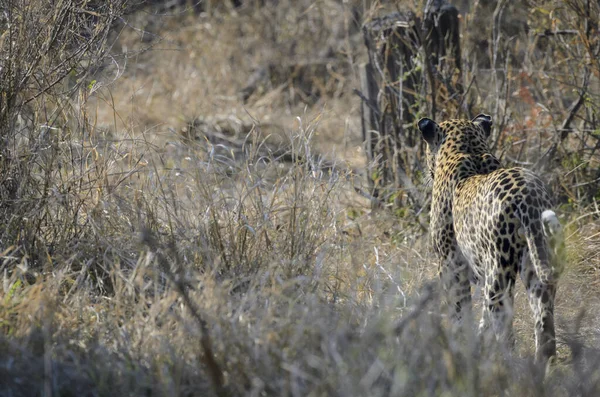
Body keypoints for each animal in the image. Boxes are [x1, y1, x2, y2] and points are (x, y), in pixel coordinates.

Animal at [418, 113, 564, 364]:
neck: (467, 148)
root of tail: (528, 195)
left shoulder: (450, 264)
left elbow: (460, 311)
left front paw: (461, 346)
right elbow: (482, 318)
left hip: (500, 269)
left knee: (505, 330)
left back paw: (507, 366)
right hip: (535, 264)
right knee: (544, 325)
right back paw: (542, 367)